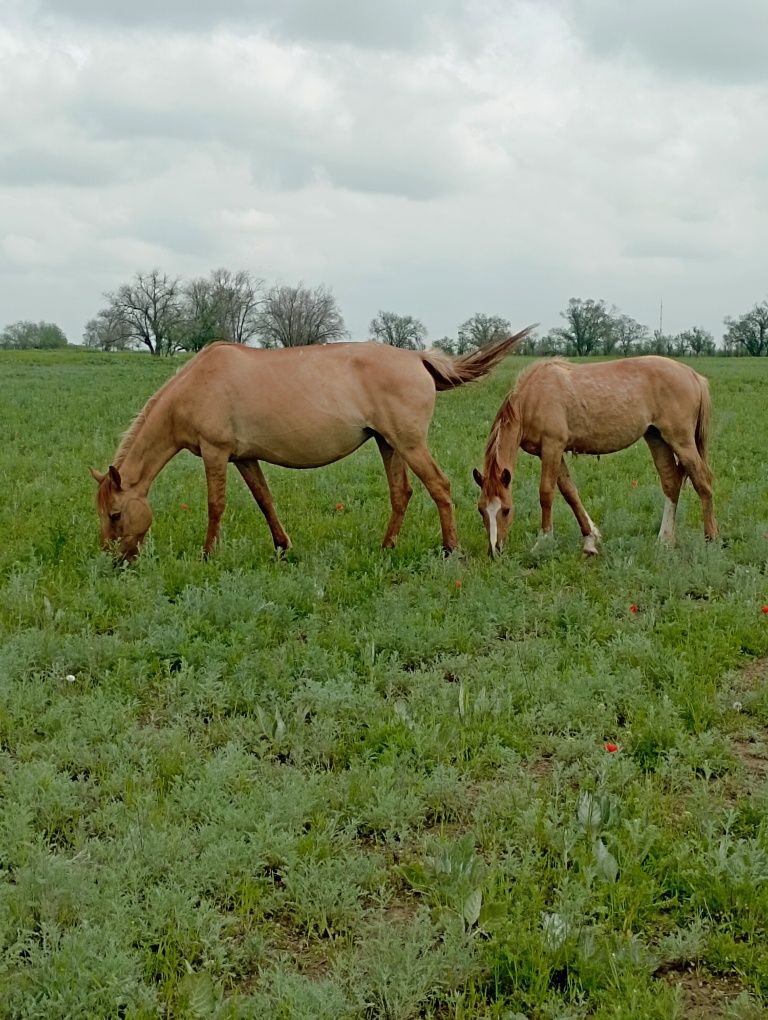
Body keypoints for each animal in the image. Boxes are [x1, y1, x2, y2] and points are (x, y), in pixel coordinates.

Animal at [91, 330, 534, 563]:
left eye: (115, 514)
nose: (114, 560)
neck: (198, 384)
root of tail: (418, 358)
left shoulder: (216, 453)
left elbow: (216, 505)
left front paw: (208, 553)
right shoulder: (244, 458)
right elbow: (265, 500)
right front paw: (282, 546)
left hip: (409, 443)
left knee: (439, 487)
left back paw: (449, 549)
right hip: (388, 443)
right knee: (402, 493)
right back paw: (386, 547)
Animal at [471, 352, 718, 558]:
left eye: (506, 510)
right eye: (481, 510)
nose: (495, 550)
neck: (533, 397)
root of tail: (693, 375)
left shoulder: (552, 446)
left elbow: (546, 493)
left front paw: (544, 541)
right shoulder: (550, 452)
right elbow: (570, 493)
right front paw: (590, 538)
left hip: (681, 441)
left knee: (703, 481)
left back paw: (711, 539)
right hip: (657, 438)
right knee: (671, 483)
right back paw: (664, 540)